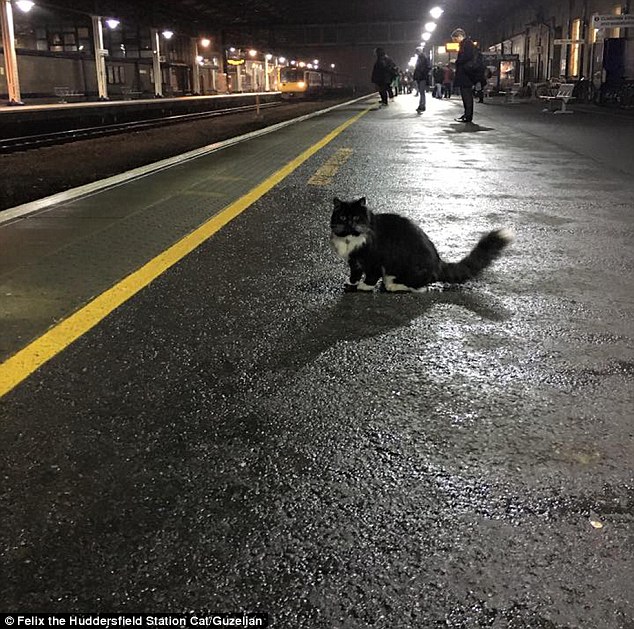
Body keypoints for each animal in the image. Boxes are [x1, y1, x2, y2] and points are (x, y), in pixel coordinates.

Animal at [328, 196, 512, 292]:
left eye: (356, 217)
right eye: (343, 217)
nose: (350, 223)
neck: (351, 239)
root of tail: (438, 263)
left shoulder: (374, 261)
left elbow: (371, 276)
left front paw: (364, 286)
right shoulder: (354, 261)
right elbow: (354, 274)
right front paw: (351, 283)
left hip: (406, 270)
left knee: (419, 287)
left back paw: (393, 286)